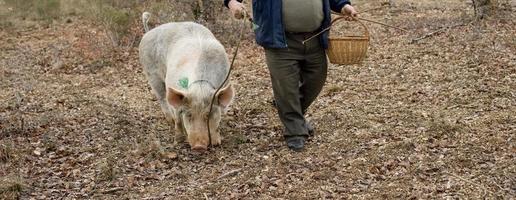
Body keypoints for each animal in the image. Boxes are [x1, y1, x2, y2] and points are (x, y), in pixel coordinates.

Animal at [137, 12, 234, 152]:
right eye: (189, 115)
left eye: (208, 115)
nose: (199, 146)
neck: (200, 87)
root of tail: (148, 32)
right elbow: (178, 116)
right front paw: (178, 140)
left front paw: (217, 142)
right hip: (151, 74)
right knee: (162, 99)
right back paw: (170, 121)